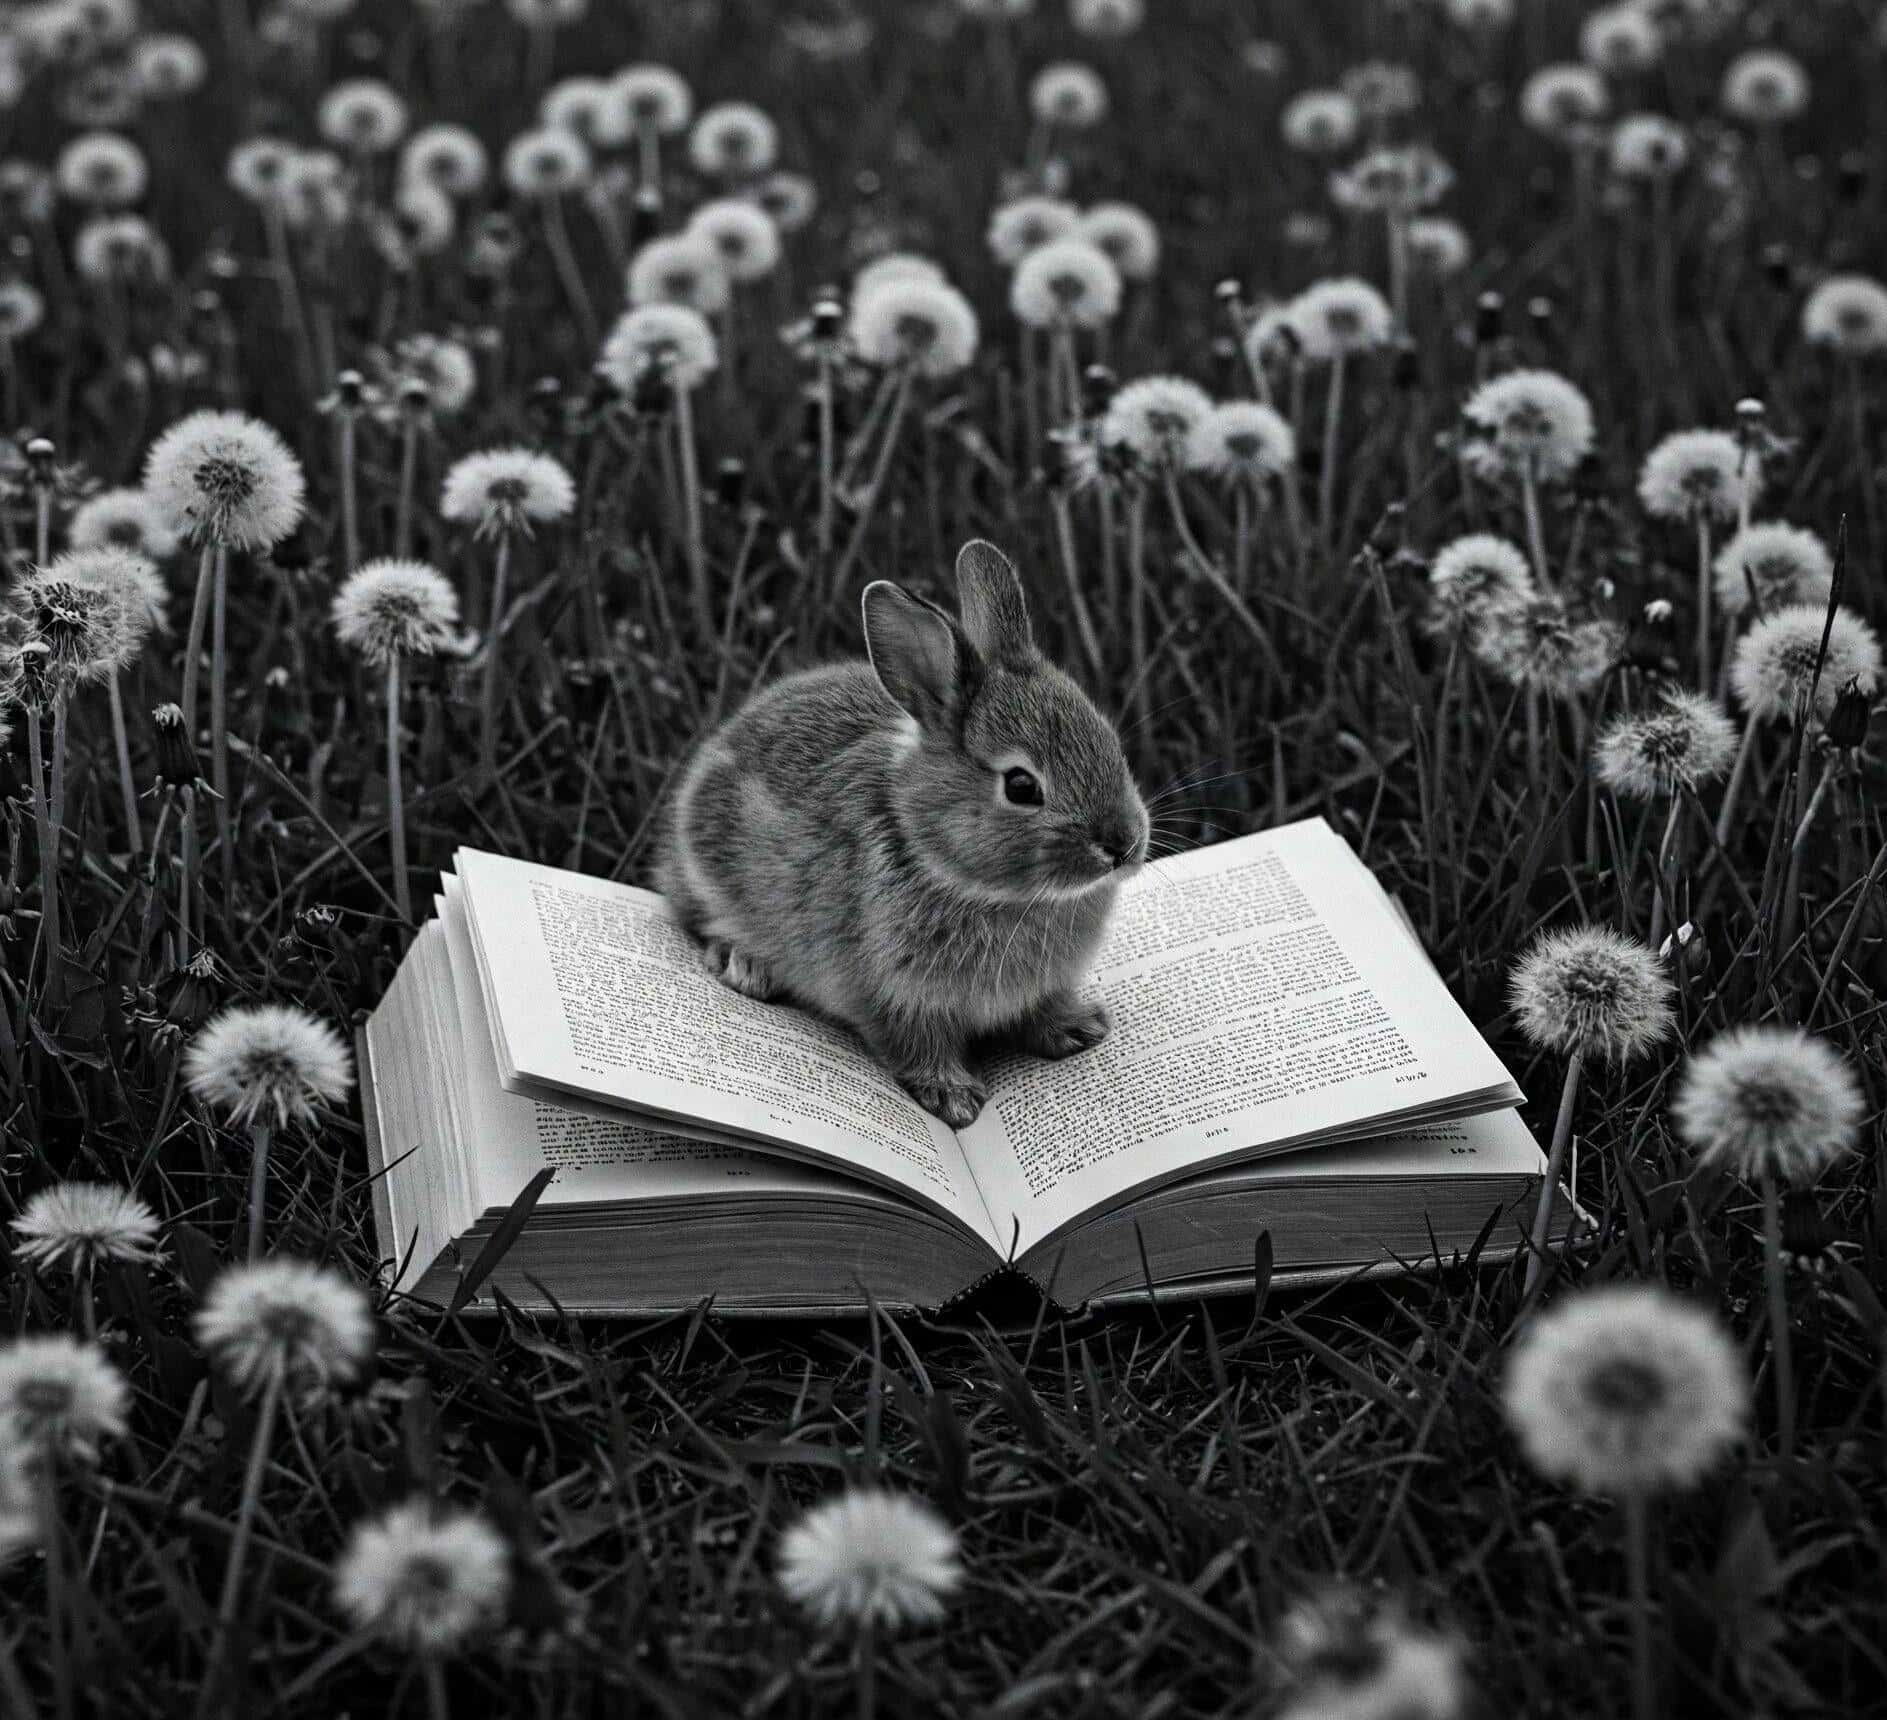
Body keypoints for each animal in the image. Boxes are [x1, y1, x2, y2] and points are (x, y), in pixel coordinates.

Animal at [659, 539, 1149, 1128]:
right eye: (1021, 786)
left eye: (1109, 741)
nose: (1124, 845)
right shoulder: (895, 995)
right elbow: (917, 1046)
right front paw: (954, 1100)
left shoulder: (1040, 987)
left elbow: (1041, 1011)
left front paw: (1080, 1029)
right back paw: (747, 964)